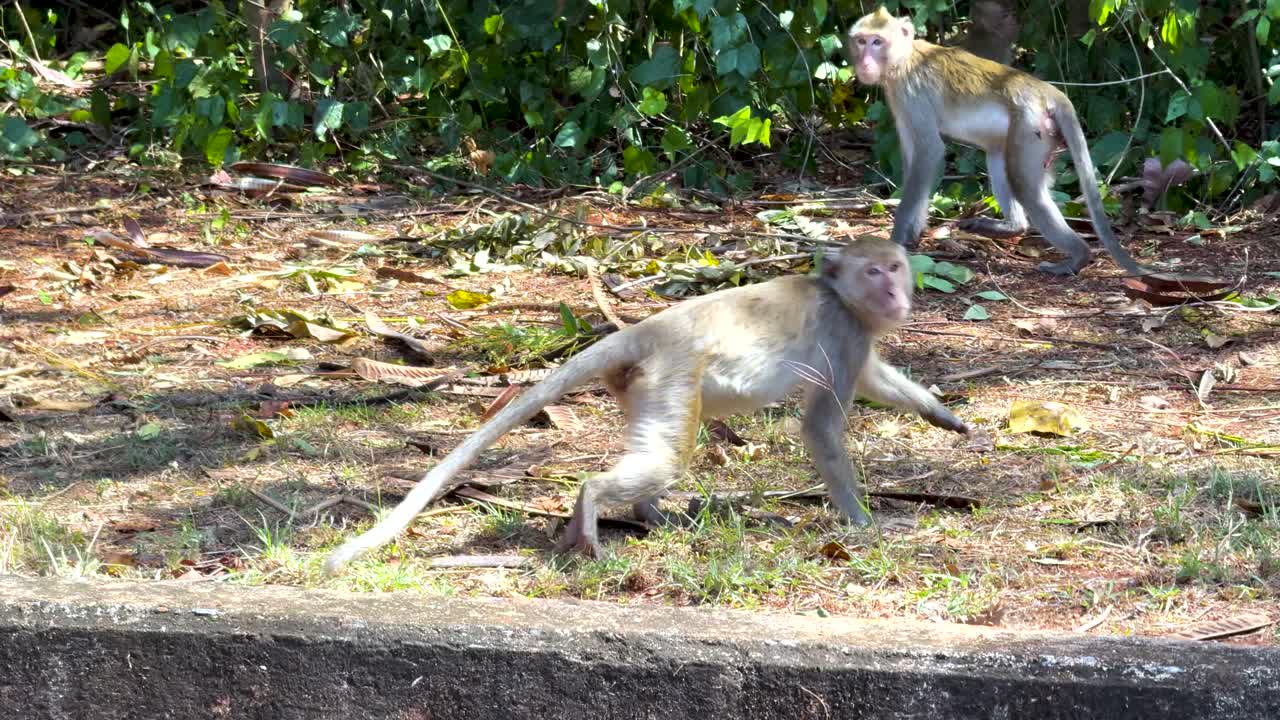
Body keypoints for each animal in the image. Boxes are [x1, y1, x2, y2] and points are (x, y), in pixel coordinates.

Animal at [323, 237, 970, 574]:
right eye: (875, 270)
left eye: (896, 267)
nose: (895, 292)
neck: (840, 295)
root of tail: (649, 328)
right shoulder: (843, 332)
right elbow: (820, 423)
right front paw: (862, 521)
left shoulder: (857, 335)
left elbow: (875, 381)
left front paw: (940, 414)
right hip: (673, 375)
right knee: (665, 455)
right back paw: (595, 505)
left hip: (642, 387)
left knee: (657, 447)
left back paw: (647, 514)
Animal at [845, 7, 1162, 278]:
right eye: (861, 41)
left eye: (877, 42)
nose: (864, 61)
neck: (903, 59)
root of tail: (1047, 91)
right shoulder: (898, 98)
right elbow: (914, 158)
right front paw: (913, 233)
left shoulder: (912, 92)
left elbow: (930, 152)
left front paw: (897, 240)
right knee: (998, 156)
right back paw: (1012, 228)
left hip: (1030, 126)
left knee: (1026, 186)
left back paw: (1078, 256)